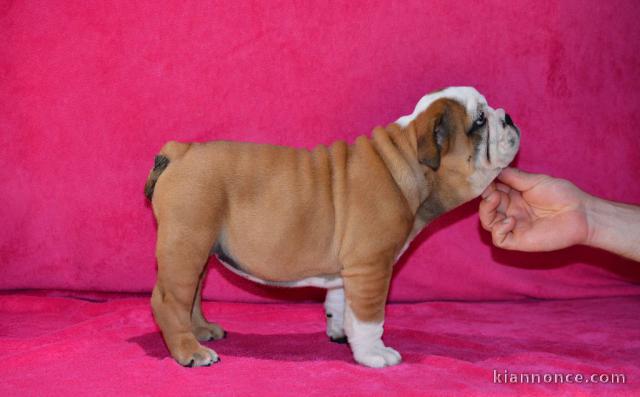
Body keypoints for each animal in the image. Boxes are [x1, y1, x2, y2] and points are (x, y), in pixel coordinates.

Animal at [144, 87, 520, 368]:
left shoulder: (349, 270)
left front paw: (341, 334)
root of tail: (180, 151)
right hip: (186, 245)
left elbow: (341, 304)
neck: (404, 159)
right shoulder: (372, 267)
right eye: (480, 120)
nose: (508, 117)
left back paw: (202, 331)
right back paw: (190, 352)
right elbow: (370, 318)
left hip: (200, 250)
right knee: (168, 300)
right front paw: (374, 354)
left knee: (192, 296)